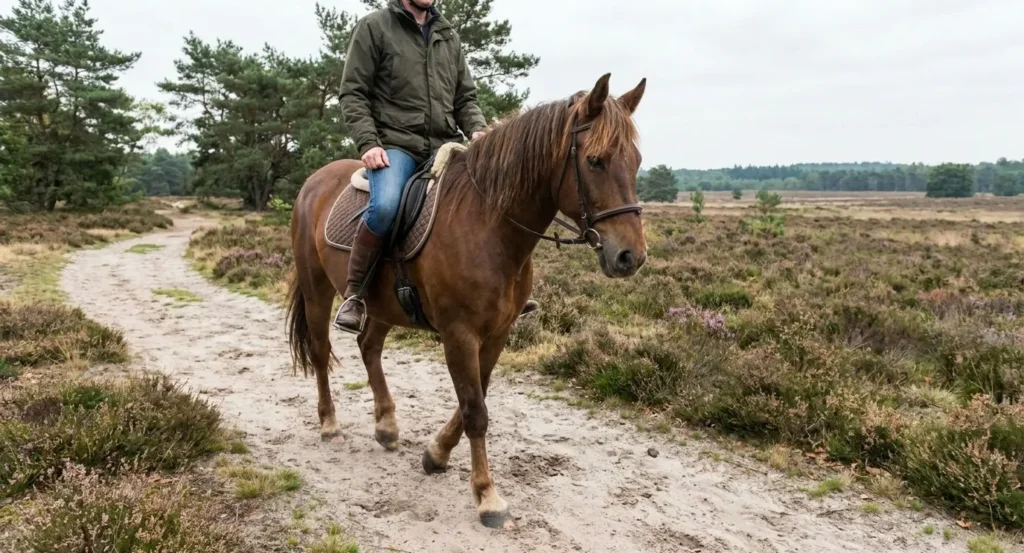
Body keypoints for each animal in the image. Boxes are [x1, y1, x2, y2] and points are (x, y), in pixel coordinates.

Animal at [286, 73, 648, 528]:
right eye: (596, 161)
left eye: (636, 161)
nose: (630, 256)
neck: (489, 225)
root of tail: (313, 182)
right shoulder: (459, 333)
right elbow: (476, 410)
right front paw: (487, 496)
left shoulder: (496, 333)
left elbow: (476, 397)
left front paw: (436, 454)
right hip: (317, 288)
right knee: (321, 352)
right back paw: (330, 424)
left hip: (382, 305)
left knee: (368, 347)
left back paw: (386, 426)